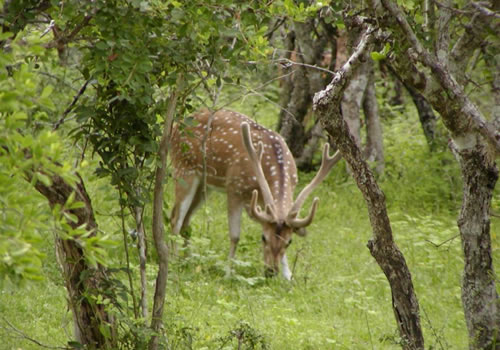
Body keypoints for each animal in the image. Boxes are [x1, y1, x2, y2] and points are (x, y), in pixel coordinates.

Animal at [169, 109, 340, 278]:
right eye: (263, 237)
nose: (271, 272)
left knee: (186, 220)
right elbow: (235, 236)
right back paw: (175, 261)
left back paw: (188, 260)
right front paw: (228, 274)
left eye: (289, 242)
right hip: (184, 169)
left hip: (205, 184)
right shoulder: (234, 187)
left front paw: (289, 277)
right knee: (176, 219)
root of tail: (176, 125)